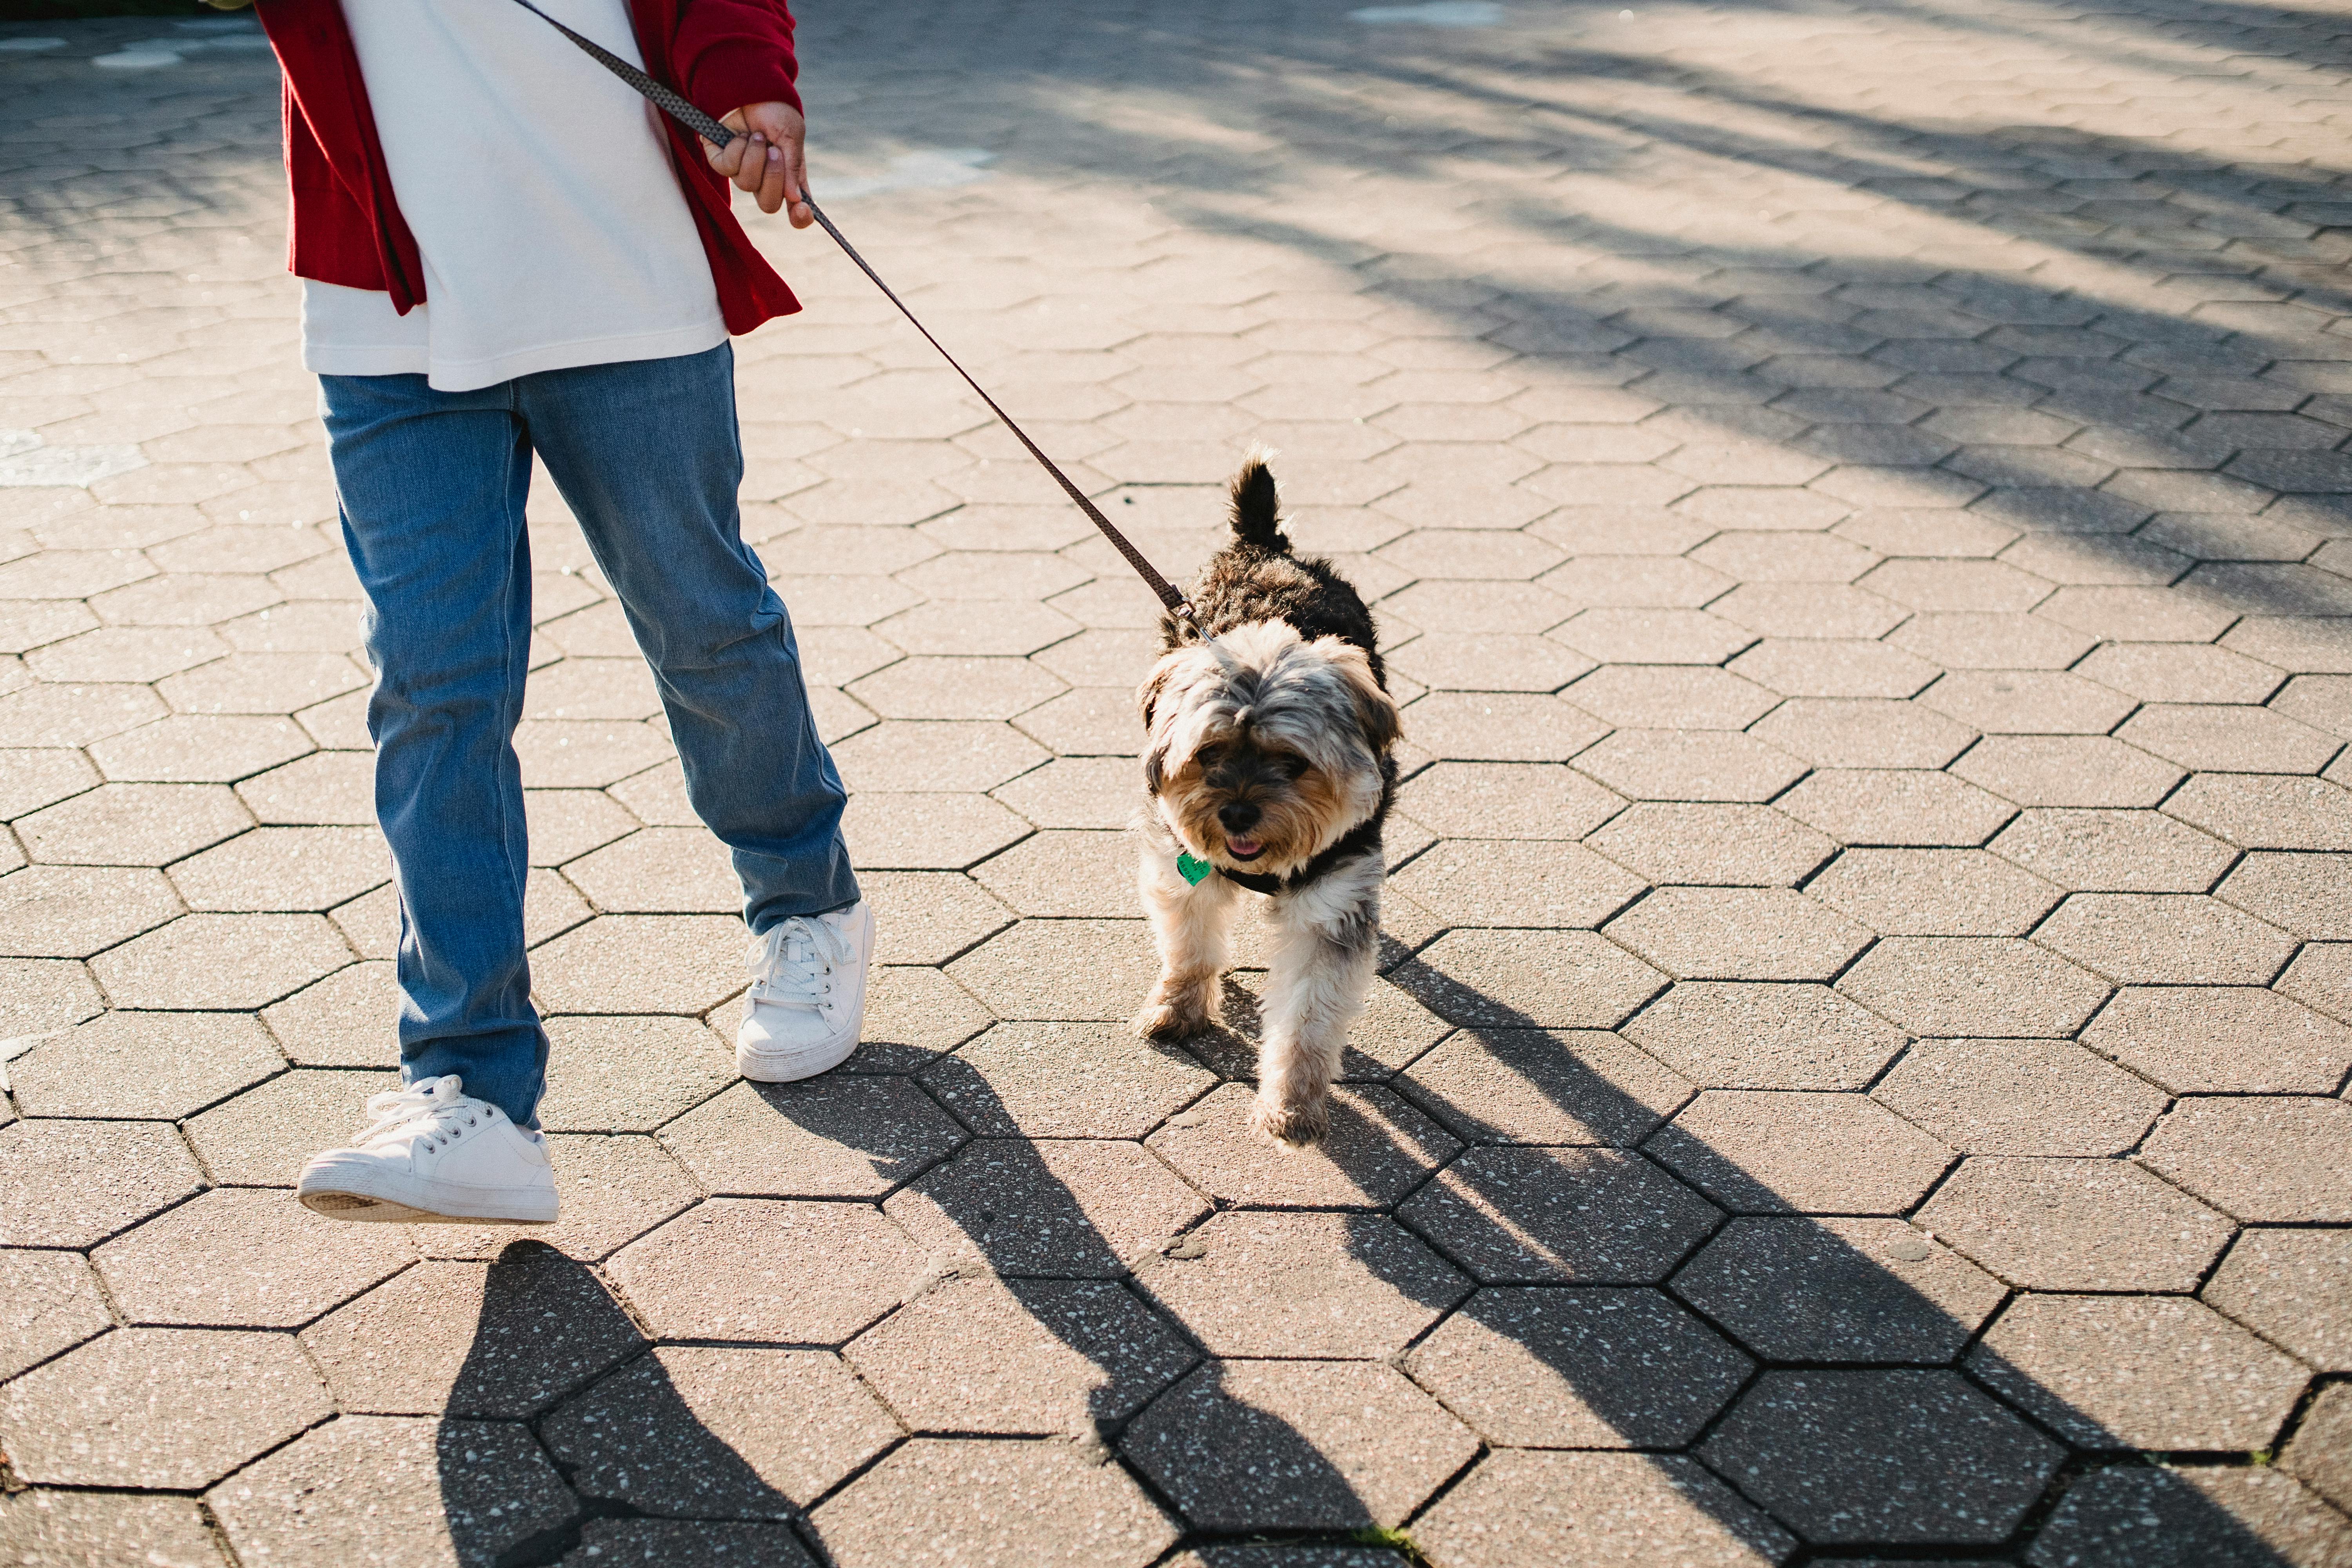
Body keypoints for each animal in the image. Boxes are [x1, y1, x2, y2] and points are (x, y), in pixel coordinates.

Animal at [1134, 446, 1392, 1147]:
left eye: (1293, 764)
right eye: (1208, 755)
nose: (1238, 812)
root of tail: (1261, 542)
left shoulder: (1332, 904)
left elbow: (1308, 1017)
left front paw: (1293, 1105)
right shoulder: (1182, 862)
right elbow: (1190, 944)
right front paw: (1179, 1007)